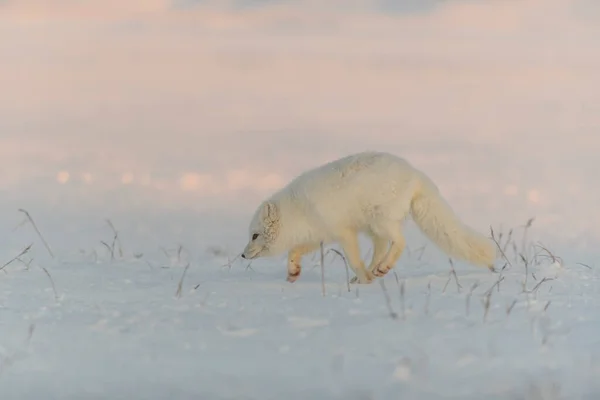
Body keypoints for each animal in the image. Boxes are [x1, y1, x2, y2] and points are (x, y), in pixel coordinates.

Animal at [239, 151, 496, 284]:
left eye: (254, 235)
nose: (242, 255)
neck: (298, 210)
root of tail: (416, 173)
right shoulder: (320, 234)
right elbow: (294, 251)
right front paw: (293, 273)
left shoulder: (343, 232)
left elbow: (353, 260)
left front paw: (363, 280)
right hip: (373, 228)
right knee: (381, 249)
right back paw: (375, 270)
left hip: (380, 222)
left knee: (399, 242)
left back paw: (379, 271)